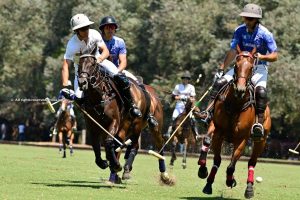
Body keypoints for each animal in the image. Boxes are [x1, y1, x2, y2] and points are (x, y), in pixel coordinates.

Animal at [76, 51, 172, 184]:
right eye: (79, 64)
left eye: (92, 64)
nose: (82, 82)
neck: (100, 97)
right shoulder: (93, 125)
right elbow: (97, 145)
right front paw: (105, 164)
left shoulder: (115, 122)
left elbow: (110, 143)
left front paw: (116, 166)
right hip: (130, 127)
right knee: (131, 145)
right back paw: (124, 170)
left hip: (147, 125)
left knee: (157, 144)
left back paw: (164, 175)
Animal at [197, 49, 272, 199]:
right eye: (236, 66)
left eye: (251, 67)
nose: (240, 89)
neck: (235, 104)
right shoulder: (218, 132)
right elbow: (216, 158)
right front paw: (207, 181)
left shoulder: (241, 139)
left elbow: (231, 166)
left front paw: (230, 180)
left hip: (261, 140)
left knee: (252, 162)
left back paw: (249, 189)